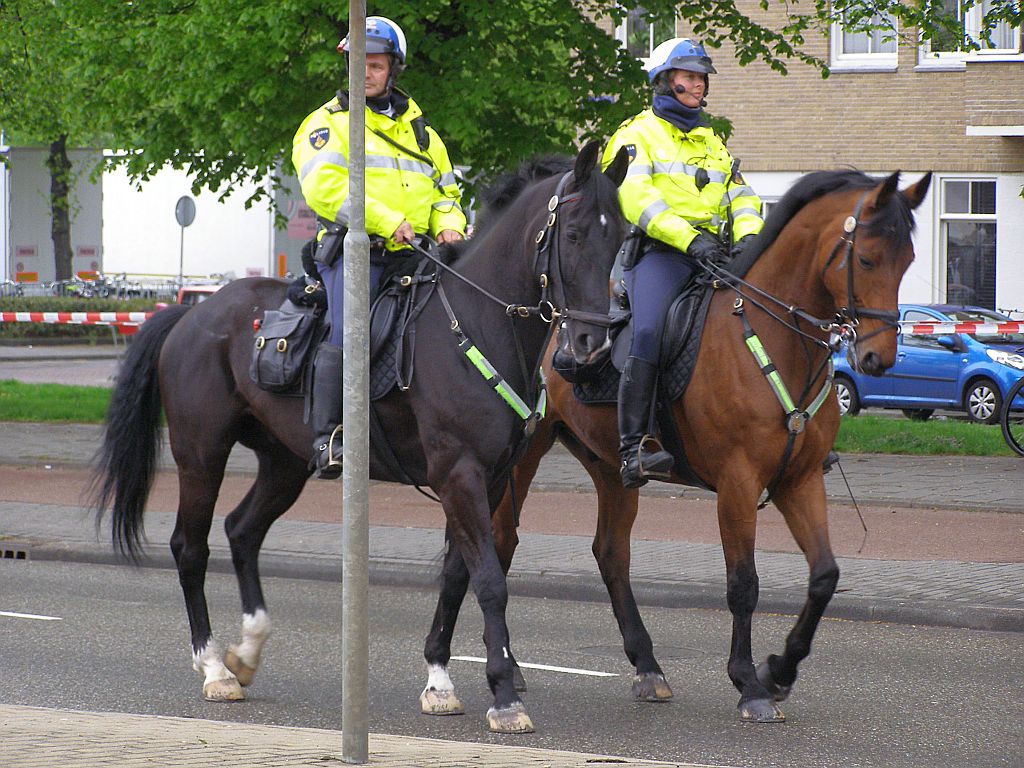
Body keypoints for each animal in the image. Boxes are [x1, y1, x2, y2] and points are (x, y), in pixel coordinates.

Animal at [90, 141, 630, 737]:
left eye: (622, 236)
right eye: (574, 234)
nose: (593, 343)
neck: (477, 322)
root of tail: (190, 312)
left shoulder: (488, 479)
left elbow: (455, 575)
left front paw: (439, 680)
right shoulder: (458, 474)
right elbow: (489, 579)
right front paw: (505, 695)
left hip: (284, 463)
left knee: (242, 531)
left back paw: (247, 650)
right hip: (200, 455)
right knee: (191, 546)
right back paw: (214, 668)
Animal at [428, 166, 933, 720]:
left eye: (908, 259)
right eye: (866, 259)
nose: (879, 358)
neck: (769, 336)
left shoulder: (797, 480)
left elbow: (824, 576)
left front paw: (779, 671)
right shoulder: (738, 483)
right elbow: (743, 584)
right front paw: (749, 682)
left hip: (609, 465)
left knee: (610, 553)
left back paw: (647, 666)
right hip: (518, 459)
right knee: (501, 544)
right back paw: (511, 668)